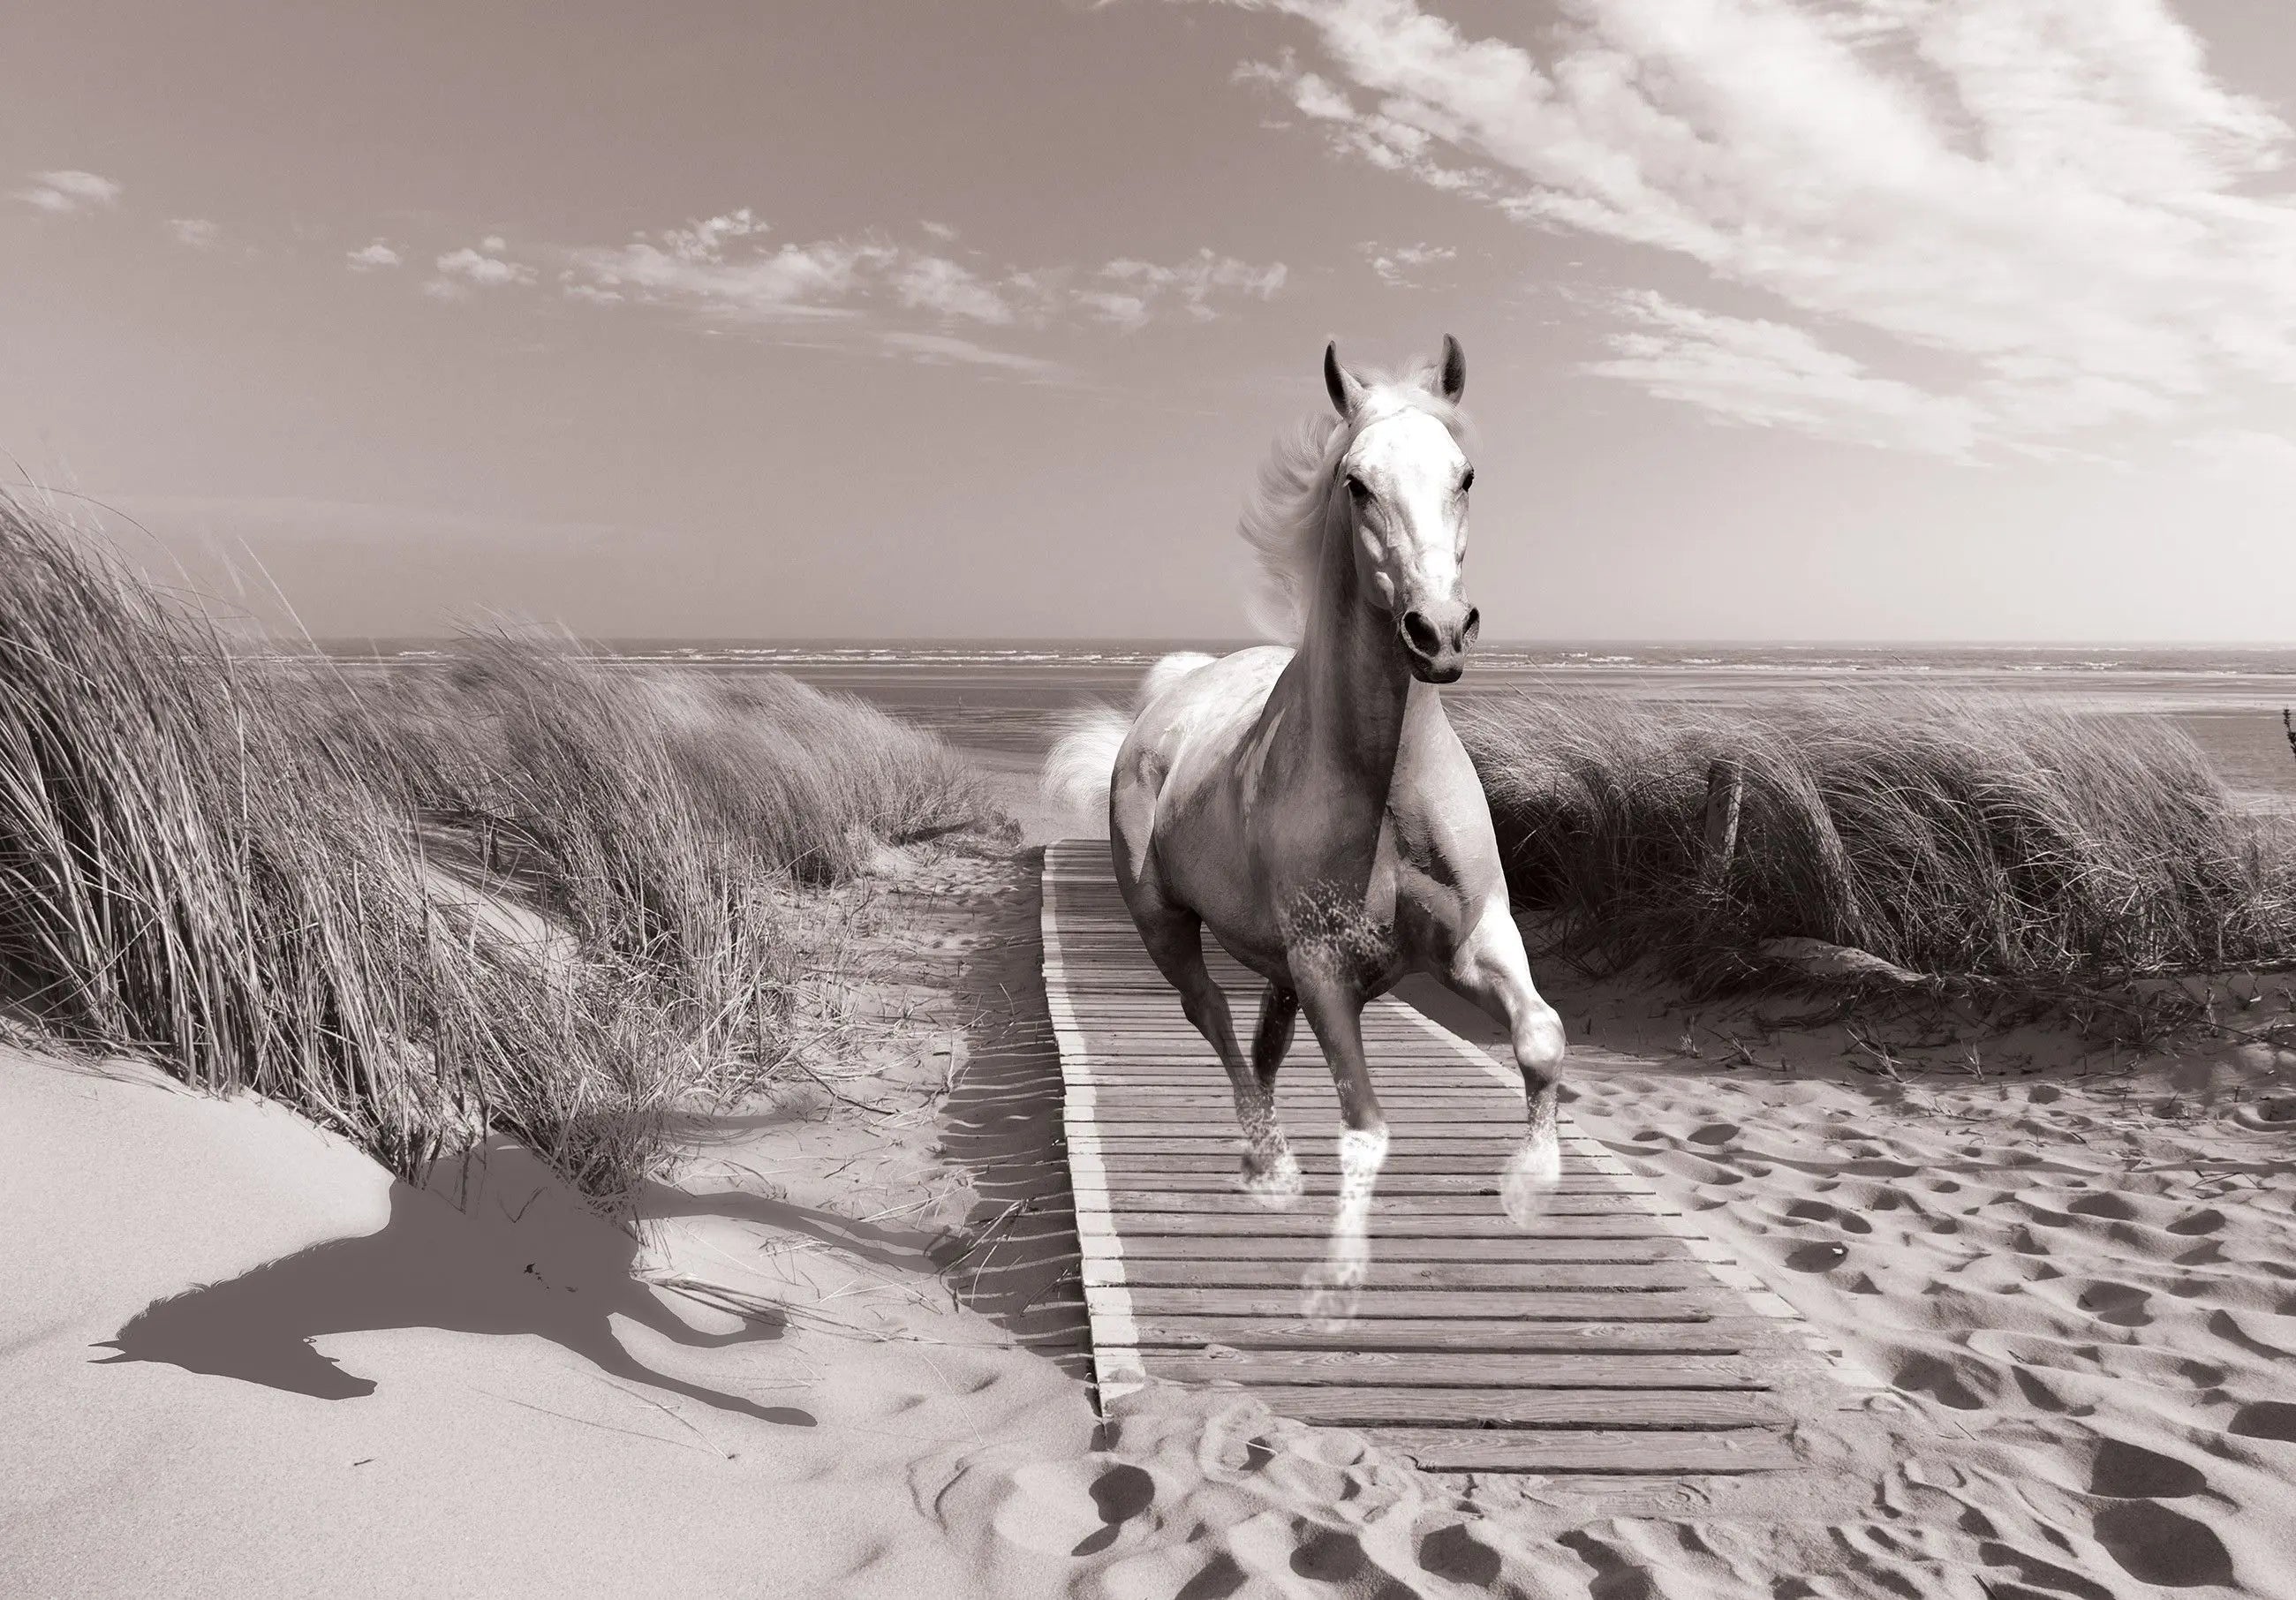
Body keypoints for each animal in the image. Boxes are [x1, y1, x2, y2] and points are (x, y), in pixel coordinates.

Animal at [1051, 337, 1570, 1322]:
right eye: (1355, 482)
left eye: (1465, 474)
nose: (1438, 632)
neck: (1385, 786)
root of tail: (1169, 698)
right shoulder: (1327, 971)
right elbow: (1366, 1126)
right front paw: (1338, 1280)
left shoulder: (1476, 940)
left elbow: (1541, 1037)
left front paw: (1530, 1185)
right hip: (1168, 930)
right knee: (1214, 1022)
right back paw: (1269, 1163)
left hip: (1279, 967)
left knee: (1260, 1043)